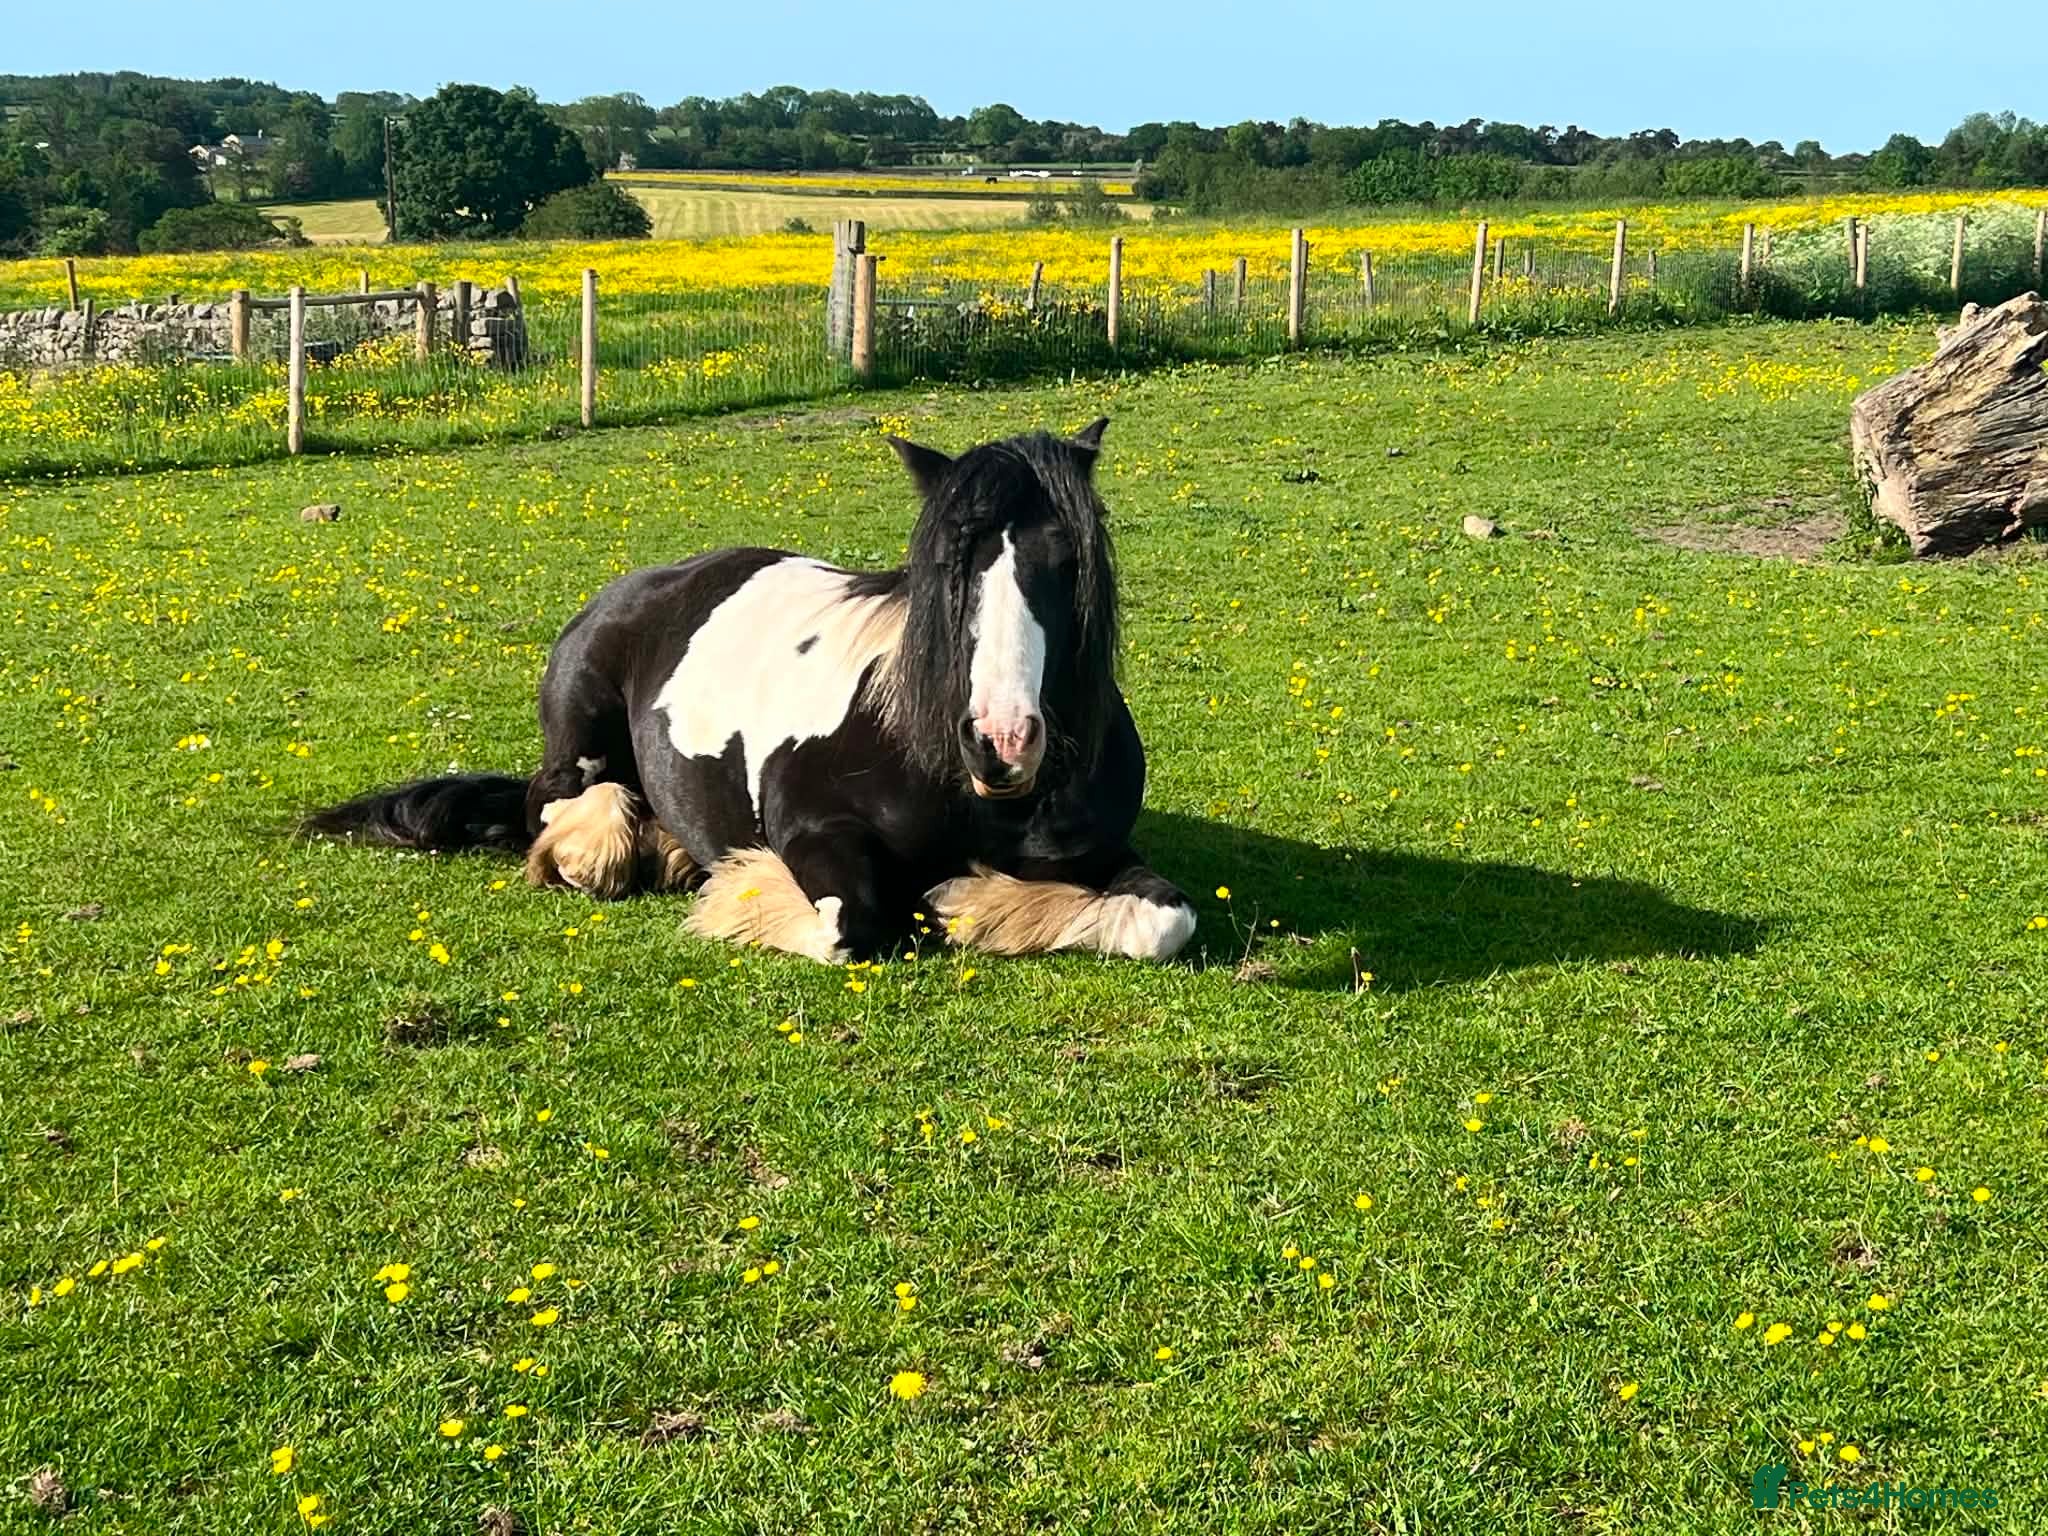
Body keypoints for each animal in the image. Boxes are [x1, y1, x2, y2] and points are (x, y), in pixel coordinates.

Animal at [304, 418, 1198, 967]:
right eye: (950, 562)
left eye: (1069, 563)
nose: (1002, 740)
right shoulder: (814, 831)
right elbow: (849, 921)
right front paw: (746, 887)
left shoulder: (1104, 853)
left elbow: (1167, 919)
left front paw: (980, 901)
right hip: (576, 748)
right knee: (555, 806)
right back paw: (612, 853)